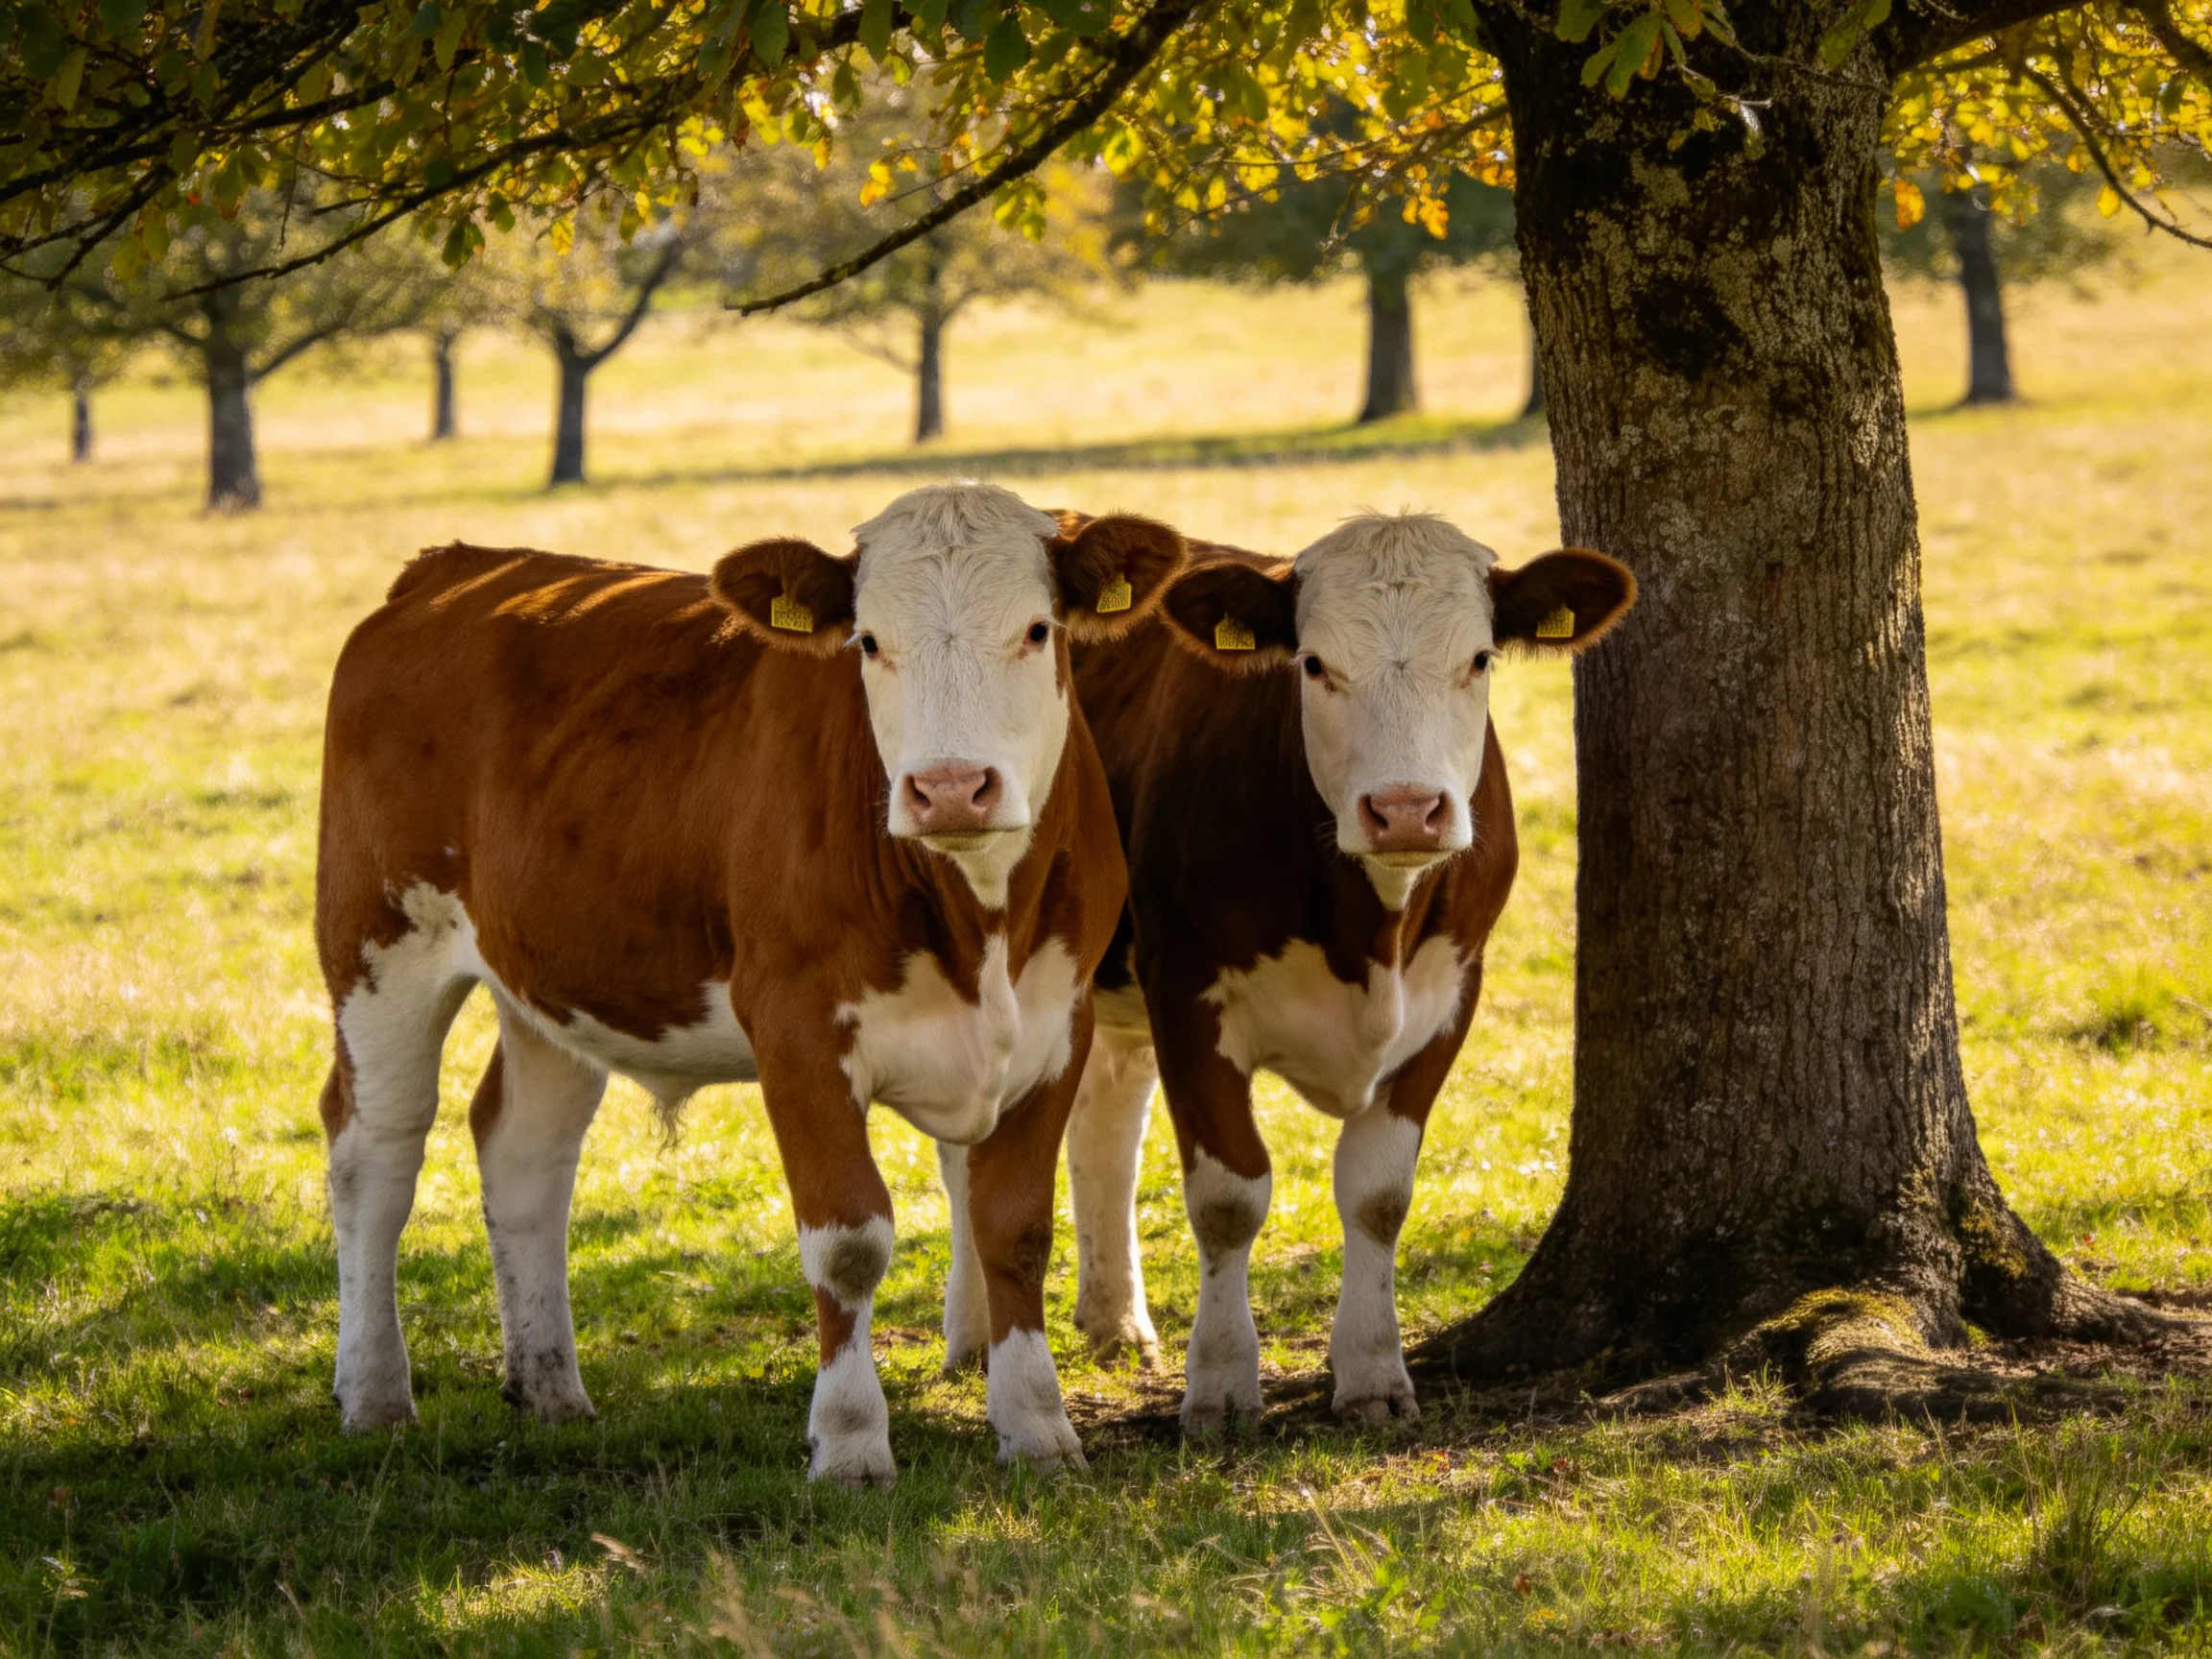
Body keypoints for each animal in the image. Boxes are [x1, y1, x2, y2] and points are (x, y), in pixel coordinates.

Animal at [314, 482, 1185, 1483]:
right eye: (868, 642)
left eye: (1039, 630)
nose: (950, 788)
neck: (978, 918)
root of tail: (455, 564)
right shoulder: (797, 1034)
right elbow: (848, 1243)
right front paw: (849, 1441)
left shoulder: (1057, 1027)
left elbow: (1015, 1230)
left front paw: (1039, 1426)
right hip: (379, 947)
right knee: (376, 1149)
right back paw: (375, 1396)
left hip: (549, 977)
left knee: (523, 1150)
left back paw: (552, 1391)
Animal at [1018, 510, 1633, 1430]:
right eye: (1313, 663)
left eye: (1480, 658)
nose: (1406, 810)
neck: (1369, 926)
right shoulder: (1187, 991)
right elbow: (1229, 1196)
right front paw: (1221, 1387)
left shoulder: (1450, 995)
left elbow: (1378, 1194)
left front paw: (1374, 1373)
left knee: (1106, 1123)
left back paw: (1115, 1322)